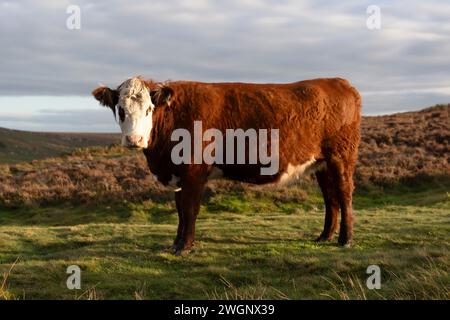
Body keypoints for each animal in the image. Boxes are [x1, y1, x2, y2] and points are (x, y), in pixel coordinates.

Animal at [92, 77, 362, 255]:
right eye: (120, 109)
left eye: (149, 109)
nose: (134, 139)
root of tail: (340, 82)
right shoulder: (180, 174)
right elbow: (180, 209)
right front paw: (176, 243)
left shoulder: (194, 170)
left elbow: (190, 209)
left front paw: (185, 247)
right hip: (322, 164)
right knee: (330, 198)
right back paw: (324, 236)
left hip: (341, 157)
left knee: (344, 194)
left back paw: (345, 239)